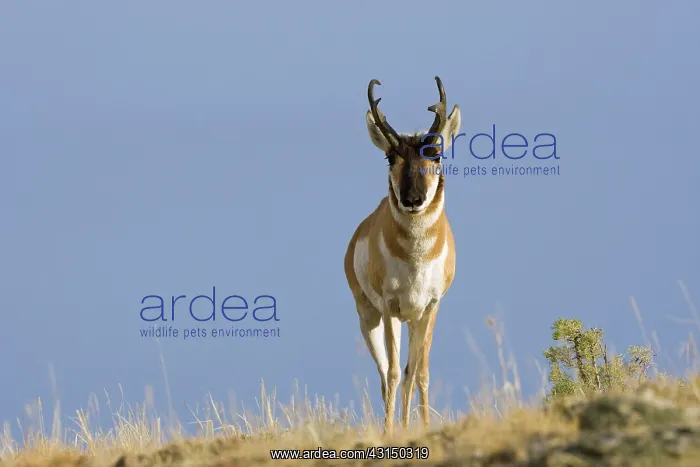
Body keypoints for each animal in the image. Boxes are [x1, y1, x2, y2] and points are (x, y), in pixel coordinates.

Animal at [344, 76, 460, 434]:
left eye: (435, 154)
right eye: (390, 158)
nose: (412, 199)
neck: (416, 258)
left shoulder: (431, 307)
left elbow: (420, 372)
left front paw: (423, 426)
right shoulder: (390, 308)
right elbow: (394, 373)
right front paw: (389, 432)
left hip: (413, 318)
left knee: (409, 373)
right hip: (369, 317)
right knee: (386, 375)